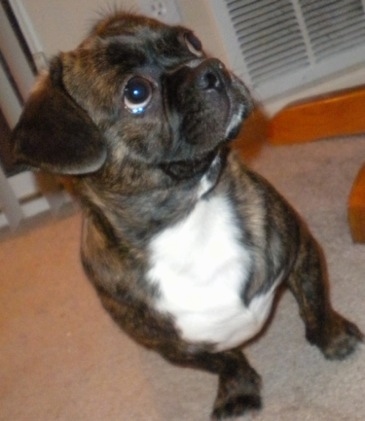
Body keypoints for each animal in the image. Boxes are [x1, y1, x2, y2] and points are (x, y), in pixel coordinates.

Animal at [10, 11, 362, 418]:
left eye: (191, 41)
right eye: (136, 93)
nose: (211, 67)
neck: (191, 213)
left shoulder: (302, 253)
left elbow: (315, 305)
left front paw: (333, 339)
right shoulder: (176, 346)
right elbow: (228, 361)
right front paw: (238, 390)